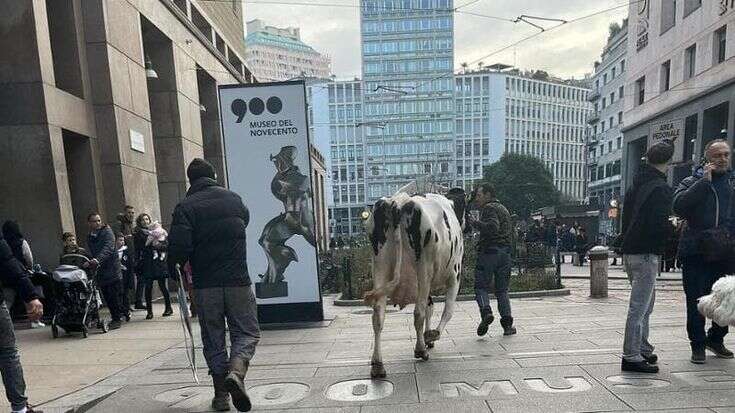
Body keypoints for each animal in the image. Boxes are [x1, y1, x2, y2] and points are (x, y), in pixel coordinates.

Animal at [366, 187, 468, 376]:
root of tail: (397, 202)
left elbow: (431, 307)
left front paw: (429, 337)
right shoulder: (455, 275)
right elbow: (448, 310)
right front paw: (432, 335)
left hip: (380, 265)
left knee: (378, 315)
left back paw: (377, 364)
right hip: (424, 268)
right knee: (418, 312)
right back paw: (420, 350)